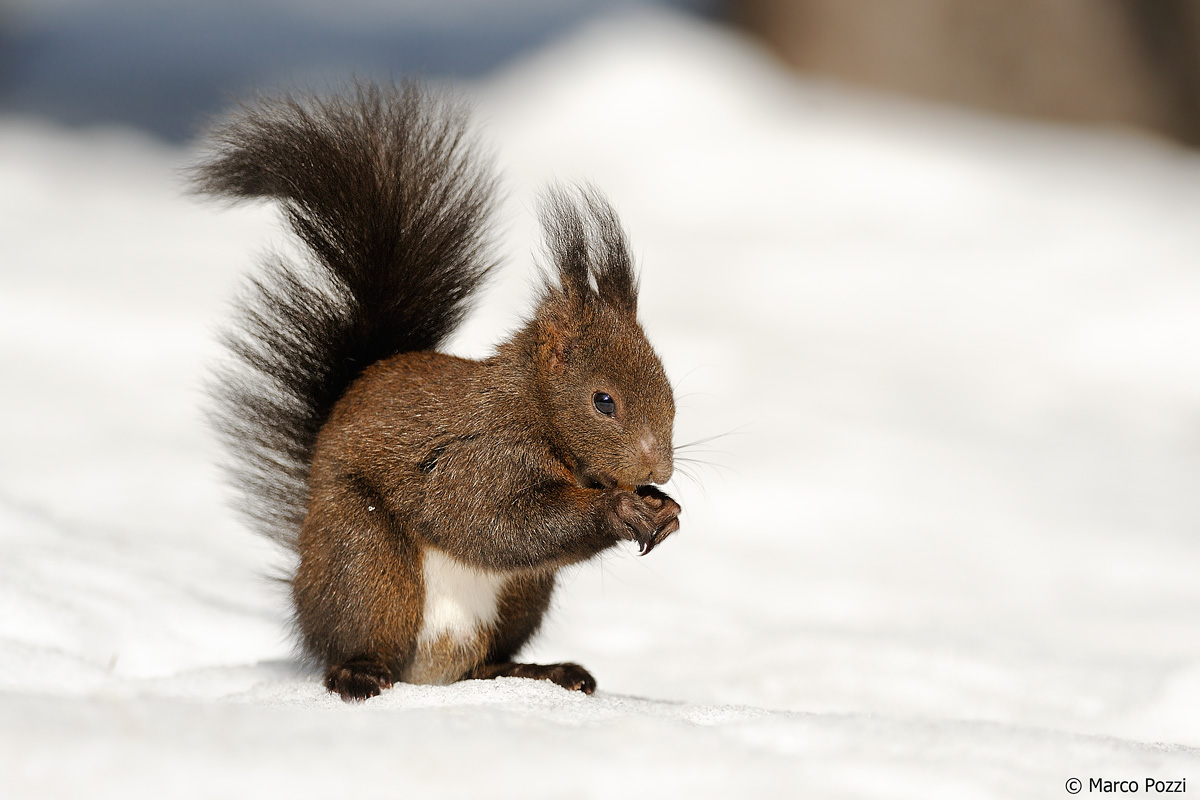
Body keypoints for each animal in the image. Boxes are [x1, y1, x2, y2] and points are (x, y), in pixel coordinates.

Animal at [193, 81, 681, 701]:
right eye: (603, 401)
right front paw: (622, 509)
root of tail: (429, 670)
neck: (535, 411)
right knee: (361, 635)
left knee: (484, 663)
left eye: (670, 389)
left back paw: (542, 671)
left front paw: (663, 507)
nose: (658, 468)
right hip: (366, 560)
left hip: (522, 595)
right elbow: (491, 521)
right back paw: (359, 672)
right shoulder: (477, 458)